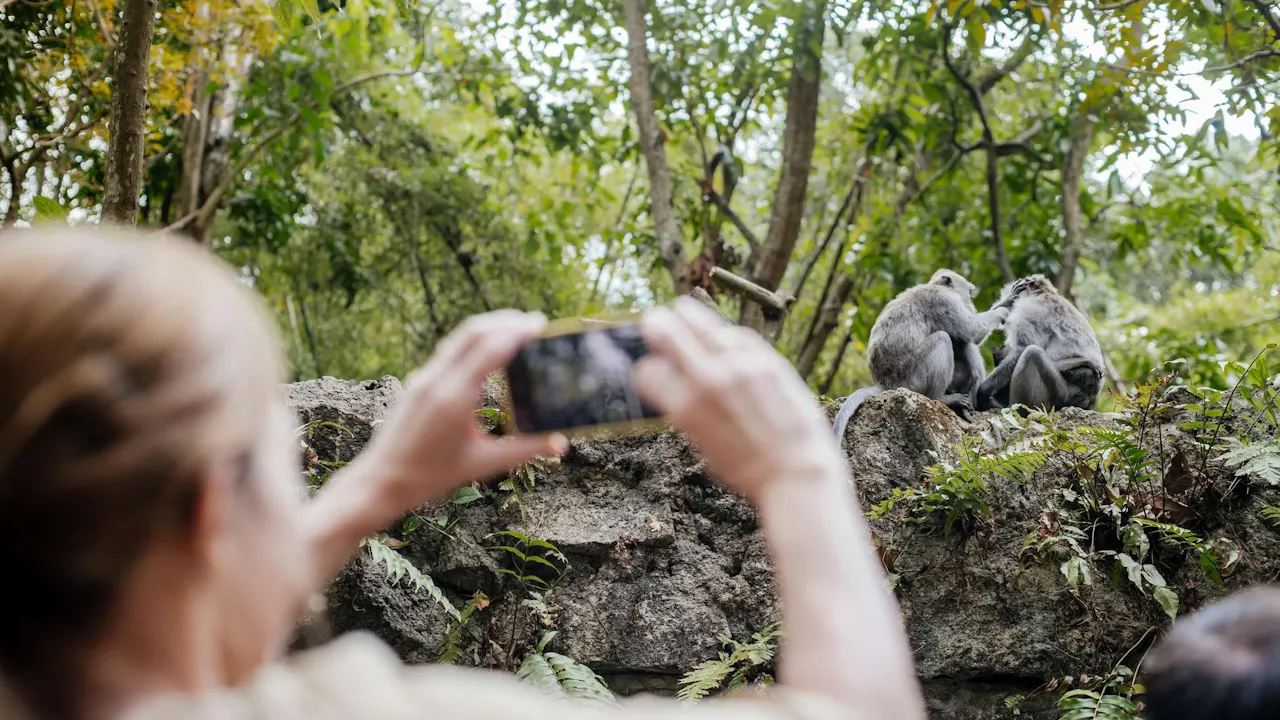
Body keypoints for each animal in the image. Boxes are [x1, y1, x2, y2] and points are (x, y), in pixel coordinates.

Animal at [832, 269, 1009, 439]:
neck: (936, 286)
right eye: (970, 293)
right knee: (943, 338)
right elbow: (972, 331)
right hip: (912, 378)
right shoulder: (943, 301)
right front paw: (1004, 308)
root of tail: (885, 382)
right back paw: (941, 398)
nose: (970, 305)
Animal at [975, 274, 1104, 413]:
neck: (1042, 294)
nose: (1010, 305)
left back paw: (1015, 408)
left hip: (1059, 393)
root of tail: (1090, 399)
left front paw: (983, 391)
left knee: (1032, 352)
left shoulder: (1032, 311)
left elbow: (1023, 348)